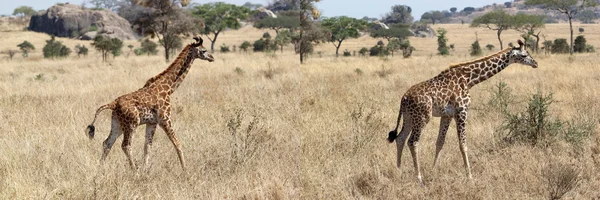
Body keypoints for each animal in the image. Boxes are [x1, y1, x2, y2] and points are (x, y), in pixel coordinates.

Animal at [85, 36, 214, 170]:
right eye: (203, 50)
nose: (212, 58)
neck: (169, 88)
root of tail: (113, 103)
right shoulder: (165, 119)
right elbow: (177, 142)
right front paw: (185, 169)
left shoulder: (152, 122)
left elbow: (147, 146)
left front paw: (145, 169)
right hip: (132, 124)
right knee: (125, 145)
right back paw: (134, 170)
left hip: (117, 123)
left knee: (107, 142)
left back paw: (100, 168)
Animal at [390, 39, 540, 184]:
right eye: (524, 55)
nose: (536, 63)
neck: (469, 80)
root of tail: (404, 98)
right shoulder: (462, 112)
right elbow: (463, 145)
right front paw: (470, 176)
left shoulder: (447, 115)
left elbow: (440, 142)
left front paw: (433, 169)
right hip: (422, 117)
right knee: (413, 142)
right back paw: (419, 178)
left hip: (409, 117)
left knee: (400, 138)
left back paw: (398, 171)